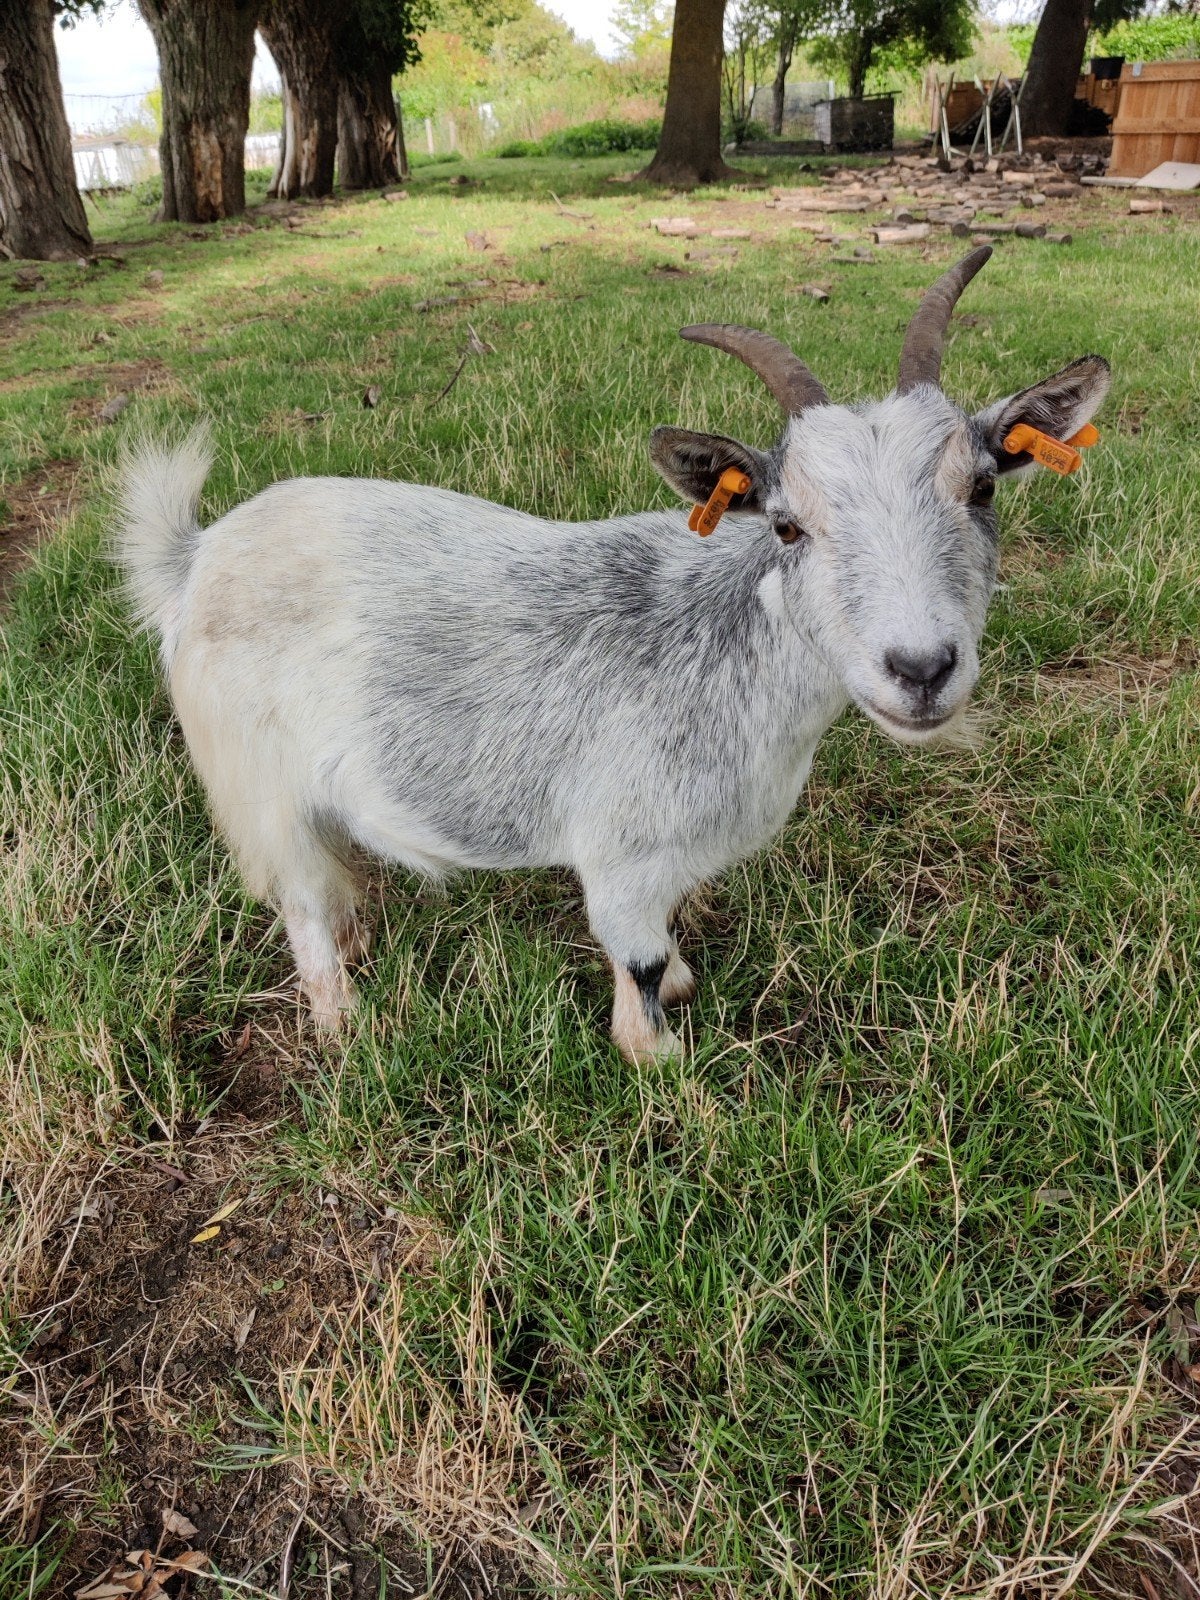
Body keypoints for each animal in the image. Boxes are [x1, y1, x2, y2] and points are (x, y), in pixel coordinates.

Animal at [116, 248, 1110, 1061]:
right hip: (258, 781)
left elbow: (663, 945)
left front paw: (681, 981)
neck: (733, 649)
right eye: (787, 524)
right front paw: (661, 1059)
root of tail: (193, 558)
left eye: (982, 488)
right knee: (299, 899)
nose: (921, 668)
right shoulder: (621, 855)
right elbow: (635, 962)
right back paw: (339, 1016)